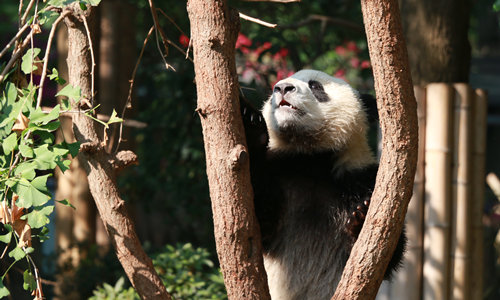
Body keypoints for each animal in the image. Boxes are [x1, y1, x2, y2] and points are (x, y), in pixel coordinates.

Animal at [239, 69, 406, 300]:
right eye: (275, 88)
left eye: (316, 86)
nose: (282, 88)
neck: (311, 160)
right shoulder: (278, 171)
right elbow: (258, 227)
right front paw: (252, 123)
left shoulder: (359, 177)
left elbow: (389, 255)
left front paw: (362, 217)